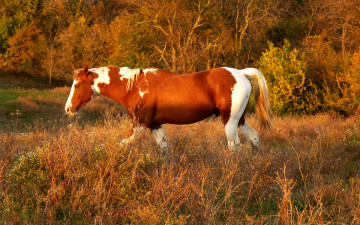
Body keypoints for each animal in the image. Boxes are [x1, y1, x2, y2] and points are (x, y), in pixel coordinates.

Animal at [65, 65, 272, 155]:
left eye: (77, 85)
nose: (68, 109)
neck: (133, 87)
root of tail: (241, 73)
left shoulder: (140, 125)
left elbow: (121, 144)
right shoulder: (155, 125)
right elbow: (164, 149)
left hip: (229, 119)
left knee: (234, 144)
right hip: (239, 118)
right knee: (254, 136)